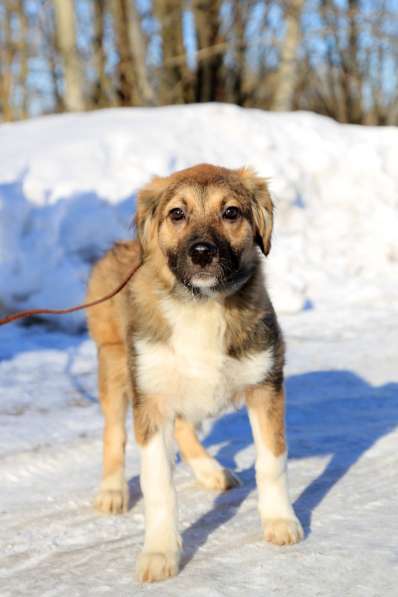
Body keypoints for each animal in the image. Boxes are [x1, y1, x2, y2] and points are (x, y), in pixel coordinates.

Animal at [87, 163, 304, 584]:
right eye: (177, 214)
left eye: (231, 212)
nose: (202, 253)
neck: (202, 305)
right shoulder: (151, 400)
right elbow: (158, 485)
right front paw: (159, 552)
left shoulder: (266, 384)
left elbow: (272, 462)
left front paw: (279, 521)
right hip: (116, 365)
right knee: (114, 432)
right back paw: (112, 490)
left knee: (186, 425)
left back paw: (208, 470)